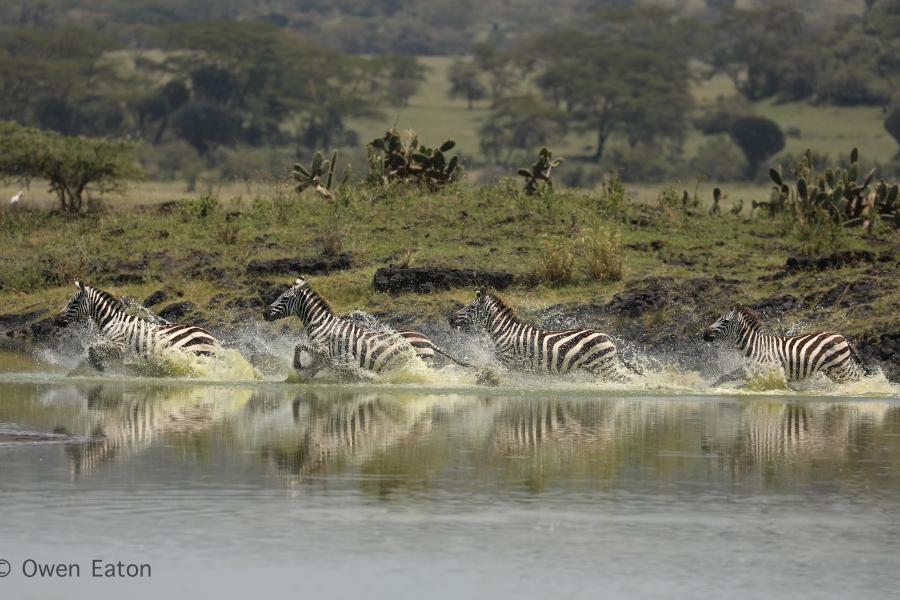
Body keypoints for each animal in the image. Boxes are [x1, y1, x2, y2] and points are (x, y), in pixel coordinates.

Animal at [56, 282, 221, 370]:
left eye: (74, 302)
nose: (57, 320)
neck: (112, 321)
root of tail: (211, 336)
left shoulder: (119, 347)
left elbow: (92, 348)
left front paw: (98, 366)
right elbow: (93, 349)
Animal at [262, 276, 468, 376]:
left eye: (284, 298)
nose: (264, 312)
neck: (322, 324)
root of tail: (428, 340)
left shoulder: (324, 350)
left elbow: (299, 346)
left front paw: (297, 365)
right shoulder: (323, 356)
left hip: (420, 360)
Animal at [448, 290, 632, 380]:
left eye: (471, 307)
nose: (450, 319)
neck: (504, 331)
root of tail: (609, 337)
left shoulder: (508, 362)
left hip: (603, 366)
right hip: (601, 367)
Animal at [704, 304, 872, 384]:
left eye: (725, 321)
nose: (704, 334)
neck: (757, 345)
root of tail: (842, 337)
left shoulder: (766, 369)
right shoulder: (751, 369)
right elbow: (725, 377)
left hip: (839, 367)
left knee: (855, 379)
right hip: (835, 369)